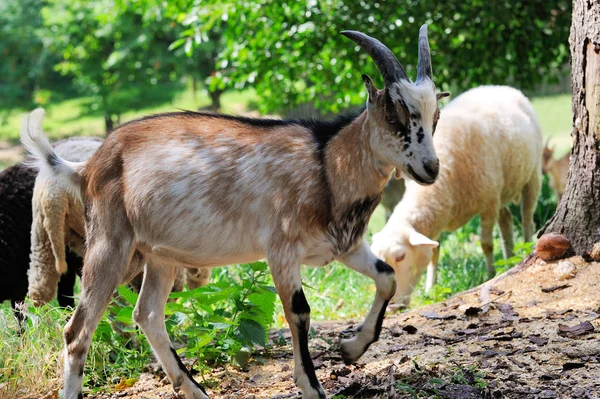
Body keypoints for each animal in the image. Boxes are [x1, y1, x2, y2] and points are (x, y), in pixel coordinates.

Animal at [22, 26, 446, 398]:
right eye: (394, 115)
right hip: (110, 245)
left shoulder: (343, 245)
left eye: (434, 117)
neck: (326, 164)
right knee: (77, 332)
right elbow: (300, 312)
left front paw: (352, 347)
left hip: (157, 256)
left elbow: (387, 277)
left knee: (147, 315)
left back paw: (194, 390)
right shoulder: (281, 249)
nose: (431, 168)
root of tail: (86, 168)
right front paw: (313, 386)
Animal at [370, 86, 544, 308]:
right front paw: (431, 288)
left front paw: (490, 274)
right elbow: (434, 252)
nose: (392, 306)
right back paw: (509, 257)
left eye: (400, 256)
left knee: (527, 216)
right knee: (506, 219)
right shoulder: (441, 212)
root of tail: (500, 87)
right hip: (501, 190)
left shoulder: (488, 204)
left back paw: (524, 247)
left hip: (531, 176)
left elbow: (486, 244)